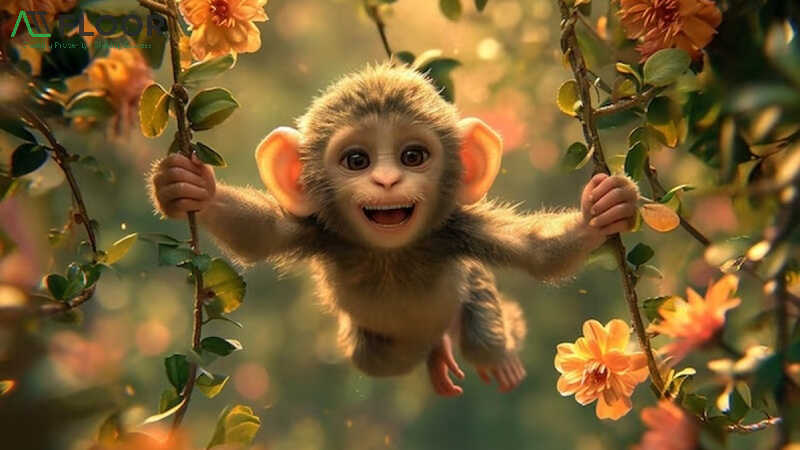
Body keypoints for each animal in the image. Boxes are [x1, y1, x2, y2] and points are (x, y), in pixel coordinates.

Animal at [149, 62, 639, 396]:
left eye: (412, 156)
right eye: (357, 160)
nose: (386, 181)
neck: (391, 253)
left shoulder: (456, 230)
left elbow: (537, 253)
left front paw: (602, 209)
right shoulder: (321, 230)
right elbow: (260, 233)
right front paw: (190, 187)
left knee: (482, 334)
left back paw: (489, 354)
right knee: (381, 359)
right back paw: (437, 353)